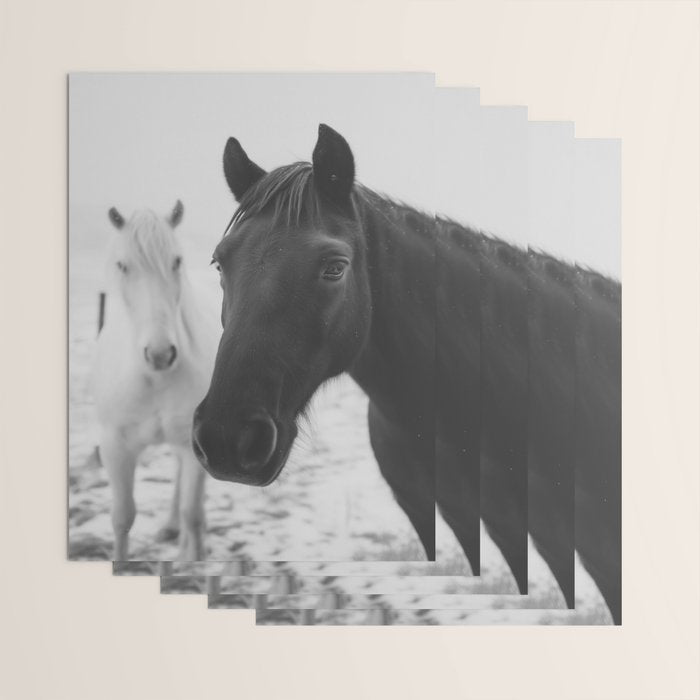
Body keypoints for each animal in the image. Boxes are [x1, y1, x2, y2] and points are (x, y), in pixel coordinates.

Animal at [93, 201, 220, 560]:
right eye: (123, 265)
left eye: (176, 261)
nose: (161, 354)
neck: (153, 379)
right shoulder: (114, 446)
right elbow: (123, 516)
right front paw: (120, 563)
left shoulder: (193, 446)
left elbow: (192, 511)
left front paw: (193, 558)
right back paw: (171, 527)